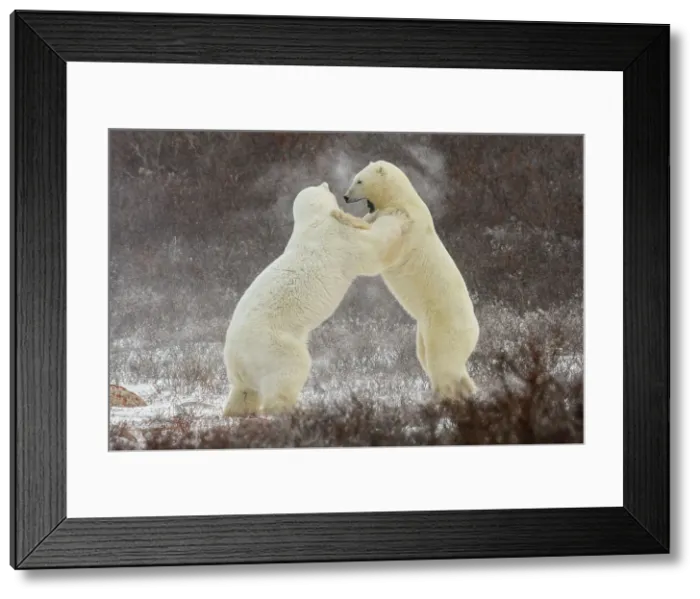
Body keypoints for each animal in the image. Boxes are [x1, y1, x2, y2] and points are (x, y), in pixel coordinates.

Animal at [222, 181, 411, 418]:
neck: (312, 222)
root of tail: (236, 358)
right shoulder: (340, 239)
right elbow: (373, 251)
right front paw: (398, 216)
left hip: (247, 366)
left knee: (245, 391)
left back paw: (236, 410)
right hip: (272, 344)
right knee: (291, 368)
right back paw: (289, 409)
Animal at [343, 160, 480, 399]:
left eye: (359, 180)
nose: (345, 196)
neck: (402, 200)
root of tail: (476, 329)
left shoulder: (405, 224)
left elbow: (381, 248)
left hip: (445, 329)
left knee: (442, 363)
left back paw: (444, 395)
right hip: (424, 332)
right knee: (432, 360)